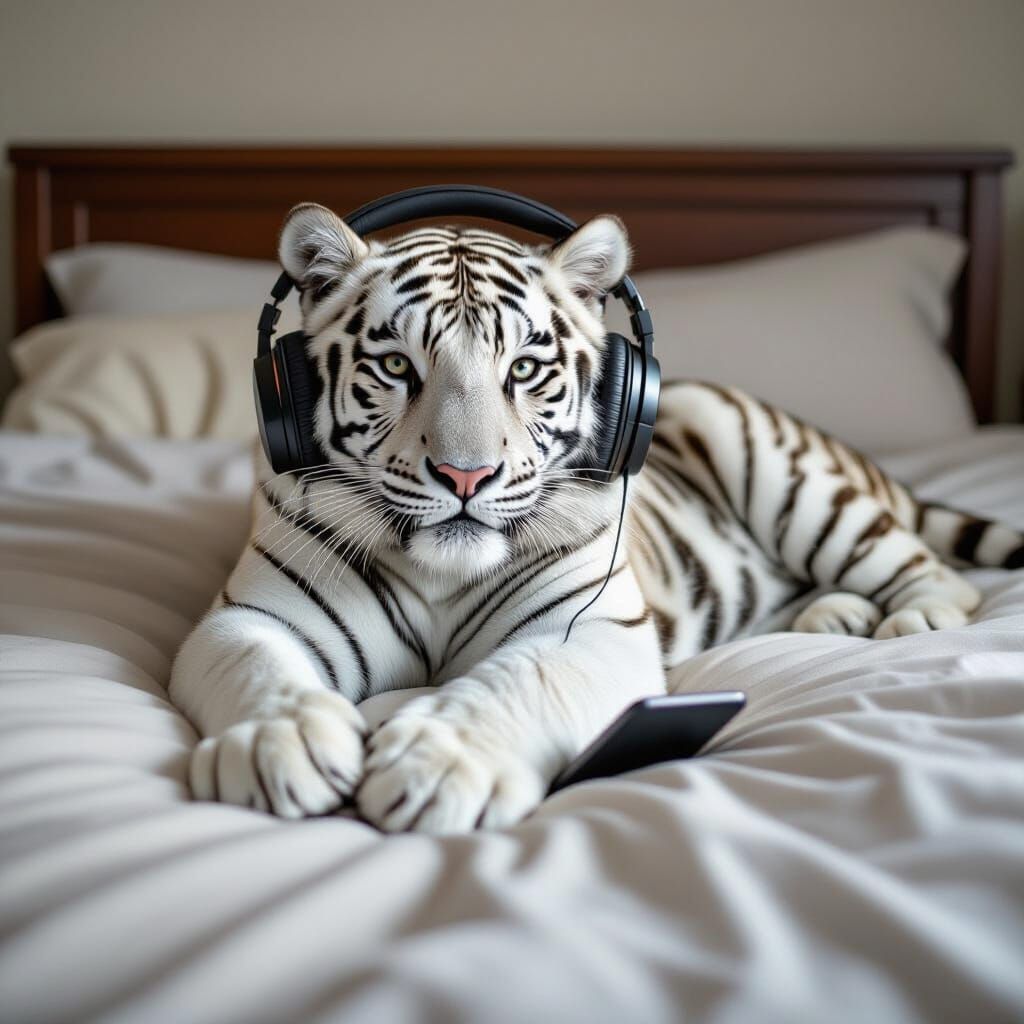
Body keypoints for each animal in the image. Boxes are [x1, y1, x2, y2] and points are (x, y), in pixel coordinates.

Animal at [168, 202, 1024, 835]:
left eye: (524, 368)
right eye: (396, 366)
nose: (465, 475)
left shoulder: (589, 631)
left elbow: (518, 681)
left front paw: (439, 762)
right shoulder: (250, 617)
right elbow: (262, 669)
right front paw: (281, 741)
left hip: (784, 474)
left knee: (933, 570)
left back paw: (911, 620)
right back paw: (831, 618)